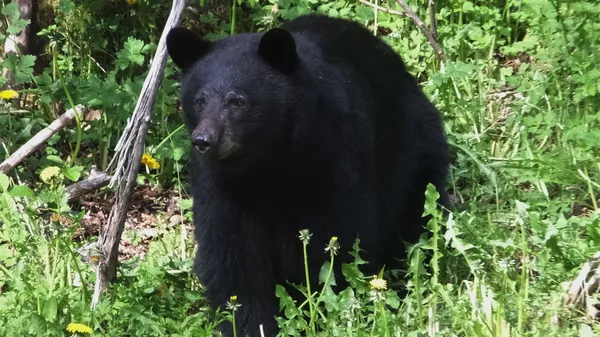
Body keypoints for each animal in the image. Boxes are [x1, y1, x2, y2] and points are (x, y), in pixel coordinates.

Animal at [166, 12, 448, 336]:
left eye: (238, 101)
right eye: (199, 101)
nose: (204, 140)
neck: (267, 163)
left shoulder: (332, 163)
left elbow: (339, 241)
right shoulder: (222, 185)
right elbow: (232, 253)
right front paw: (249, 323)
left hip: (412, 149)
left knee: (416, 212)